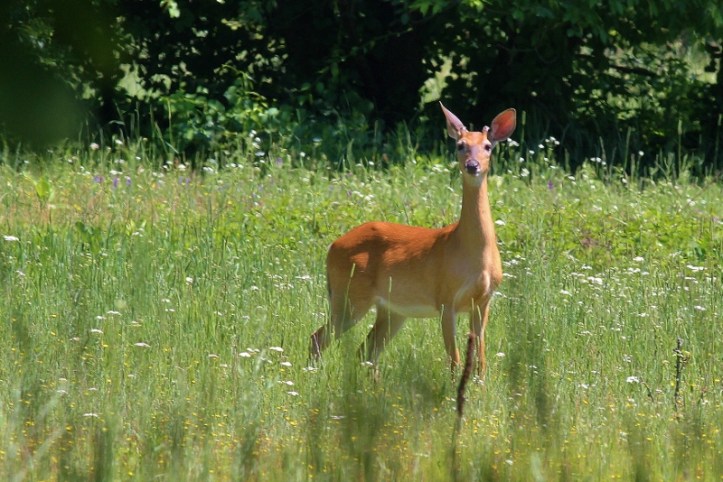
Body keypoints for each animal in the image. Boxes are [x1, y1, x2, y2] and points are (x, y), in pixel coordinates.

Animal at [310, 102, 516, 376]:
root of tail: (332, 246)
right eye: (460, 145)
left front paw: (479, 385)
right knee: (319, 338)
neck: (472, 253)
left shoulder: (484, 301)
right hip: (350, 294)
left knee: (365, 351)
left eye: (488, 146)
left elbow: (480, 359)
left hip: (391, 309)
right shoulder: (445, 297)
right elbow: (455, 359)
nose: (472, 165)